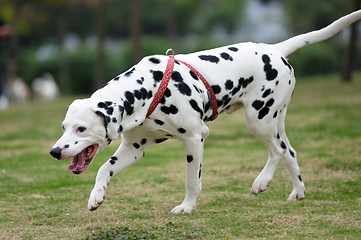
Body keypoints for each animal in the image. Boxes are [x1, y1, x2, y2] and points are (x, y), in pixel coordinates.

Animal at [50, 10, 360, 214]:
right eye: (63, 126)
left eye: (81, 128)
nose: (54, 151)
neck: (147, 88)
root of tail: (275, 49)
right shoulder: (134, 149)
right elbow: (104, 169)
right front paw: (96, 196)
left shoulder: (195, 138)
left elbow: (192, 180)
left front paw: (187, 207)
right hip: (275, 122)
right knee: (290, 152)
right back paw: (297, 192)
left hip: (258, 121)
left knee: (277, 151)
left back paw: (261, 182)